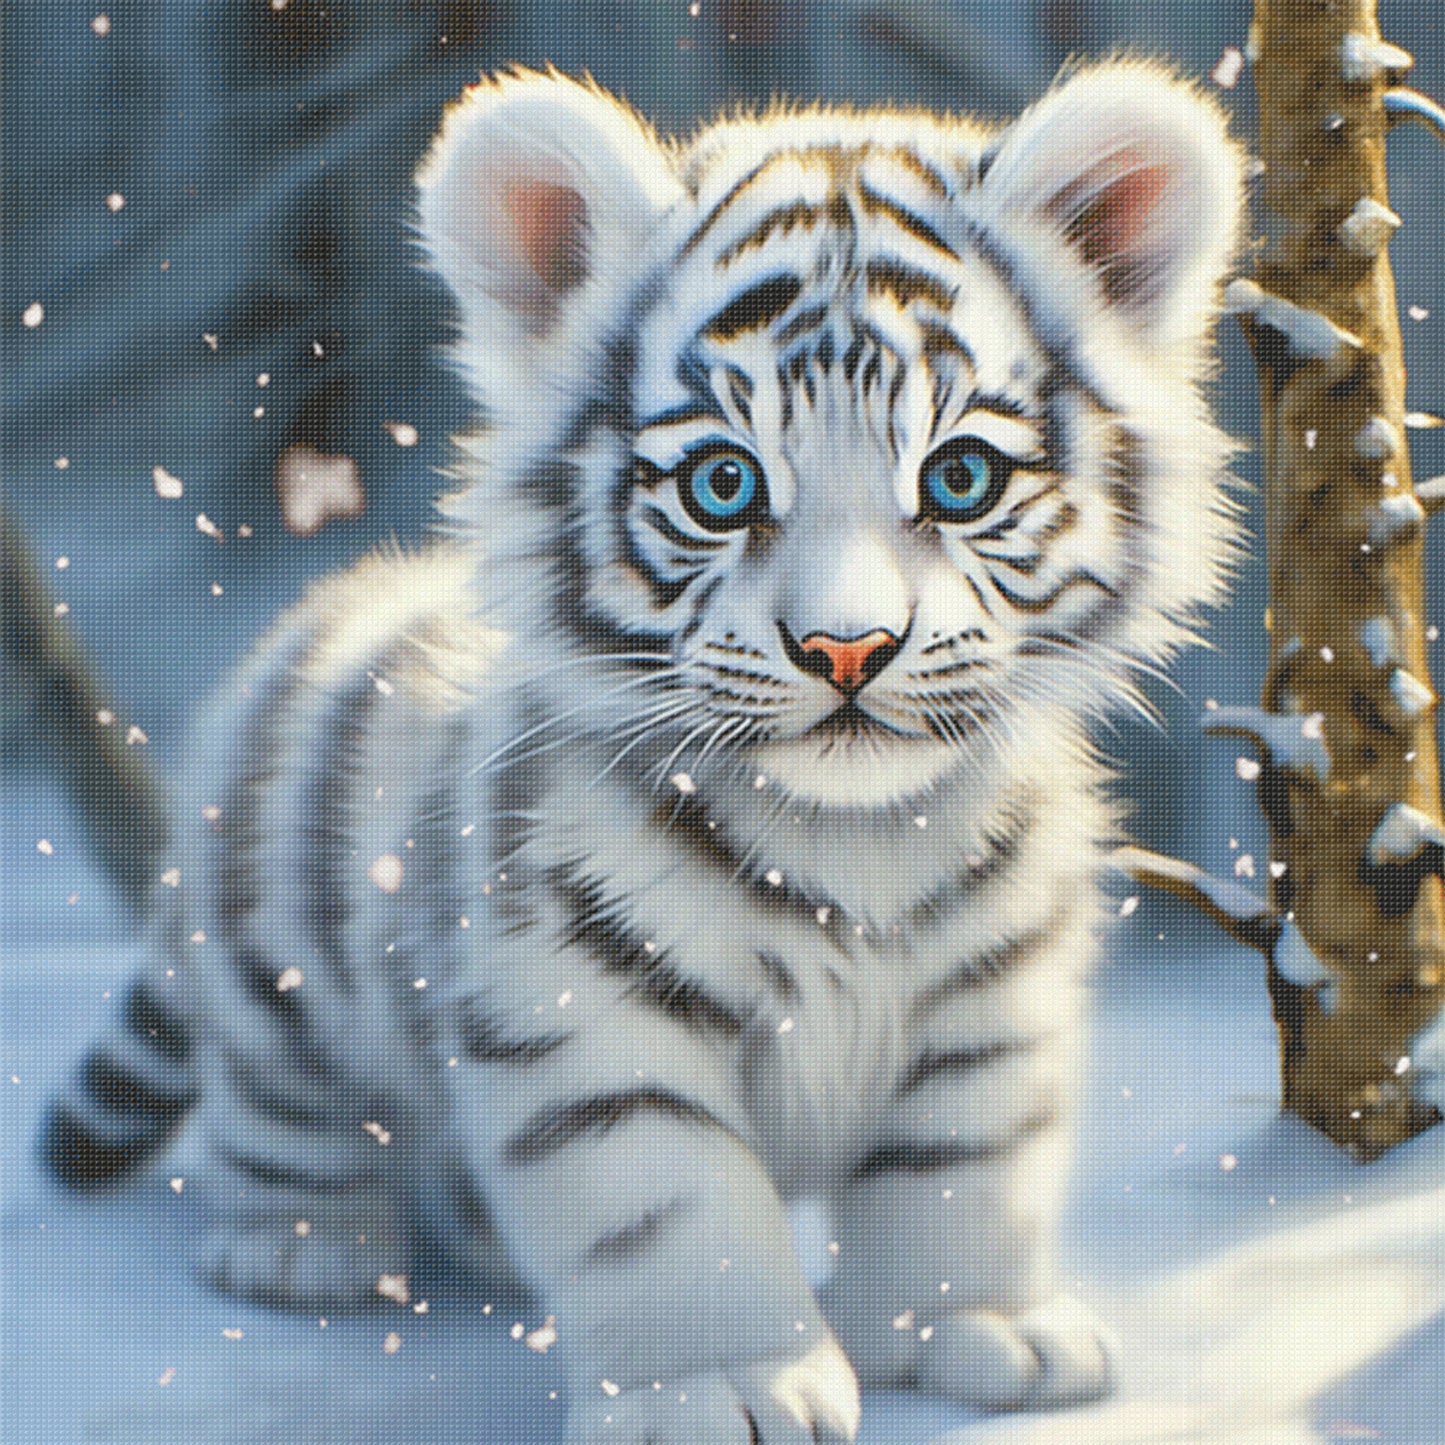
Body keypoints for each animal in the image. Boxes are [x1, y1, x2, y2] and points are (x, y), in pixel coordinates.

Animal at [41, 62, 1245, 1442]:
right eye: (724, 484)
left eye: (958, 478)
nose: (846, 648)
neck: (853, 837)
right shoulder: (579, 1011)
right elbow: (671, 1210)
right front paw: (722, 1385)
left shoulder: (991, 1005)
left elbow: (960, 1167)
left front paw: (976, 1331)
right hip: (276, 981)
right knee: (279, 1108)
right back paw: (302, 1248)